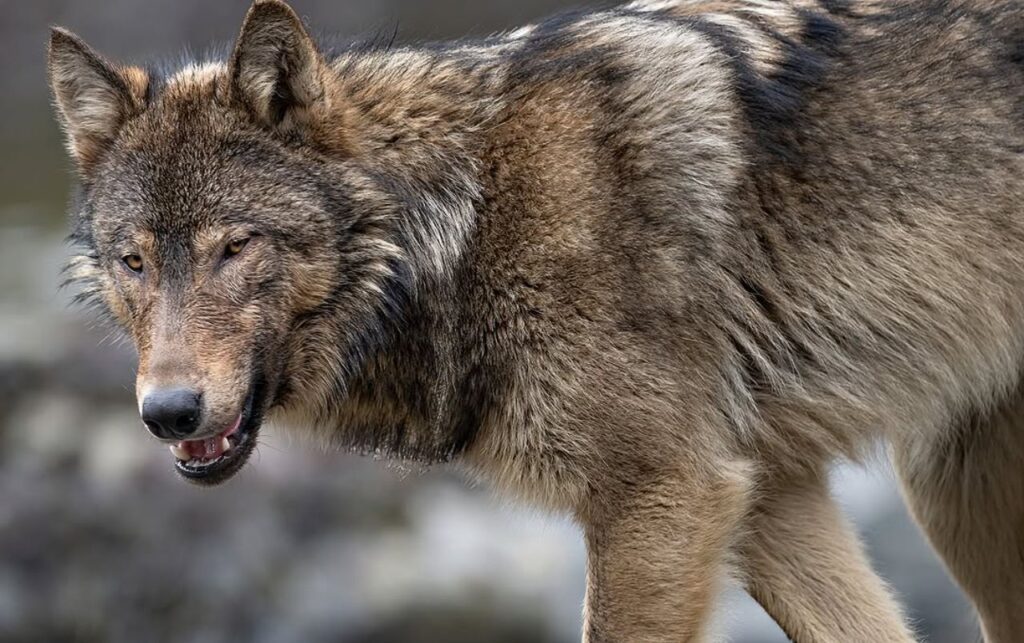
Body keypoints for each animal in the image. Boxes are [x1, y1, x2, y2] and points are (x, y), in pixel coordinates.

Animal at [48, 0, 1022, 640]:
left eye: (235, 245)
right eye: (135, 261)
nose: (167, 412)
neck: (465, 223)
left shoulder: (663, 496)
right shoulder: (766, 494)